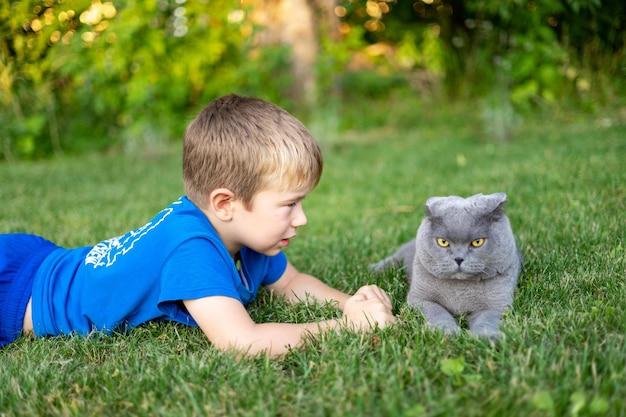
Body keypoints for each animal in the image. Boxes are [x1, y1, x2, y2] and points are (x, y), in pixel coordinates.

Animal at [370, 192, 520, 338]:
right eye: (443, 242)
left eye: (477, 242)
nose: (459, 259)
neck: (459, 289)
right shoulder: (421, 298)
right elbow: (438, 312)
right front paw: (446, 332)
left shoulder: (498, 304)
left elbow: (487, 319)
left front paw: (488, 337)